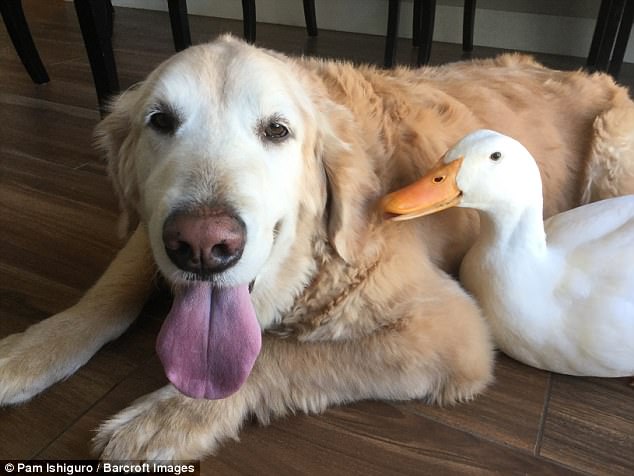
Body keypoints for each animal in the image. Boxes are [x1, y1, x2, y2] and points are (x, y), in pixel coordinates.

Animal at [1, 35, 632, 460]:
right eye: (160, 120)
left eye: (277, 130)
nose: (204, 246)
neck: (309, 266)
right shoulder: (151, 229)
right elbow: (110, 290)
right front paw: (32, 349)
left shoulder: (451, 332)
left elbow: (274, 357)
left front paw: (168, 416)